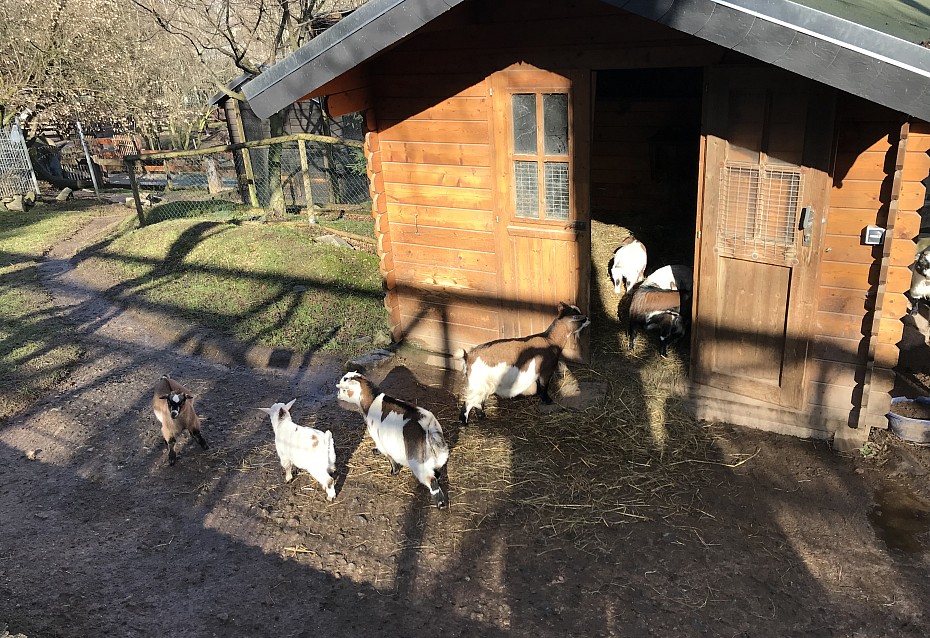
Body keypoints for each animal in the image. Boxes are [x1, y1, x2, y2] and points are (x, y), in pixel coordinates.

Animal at [334, 372, 450, 512]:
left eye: (343, 389)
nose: (337, 395)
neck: (371, 402)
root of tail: (428, 428)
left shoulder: (382, 442)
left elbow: (390, 458)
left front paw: (393, 472)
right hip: (439, 457)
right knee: (437, 473)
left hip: (419, 464)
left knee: (431, 481)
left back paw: (441, 504)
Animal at [454, 304, 588, 424]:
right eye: (580, 317)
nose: (588, 319)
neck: (550, 340)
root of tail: (468, 356)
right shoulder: (546, 371)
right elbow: (544, 386)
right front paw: (547, 400)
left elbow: (538, 385)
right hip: (479, 383)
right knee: (469, 402)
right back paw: (465, 422)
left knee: (476, 401)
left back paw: (481, 417)